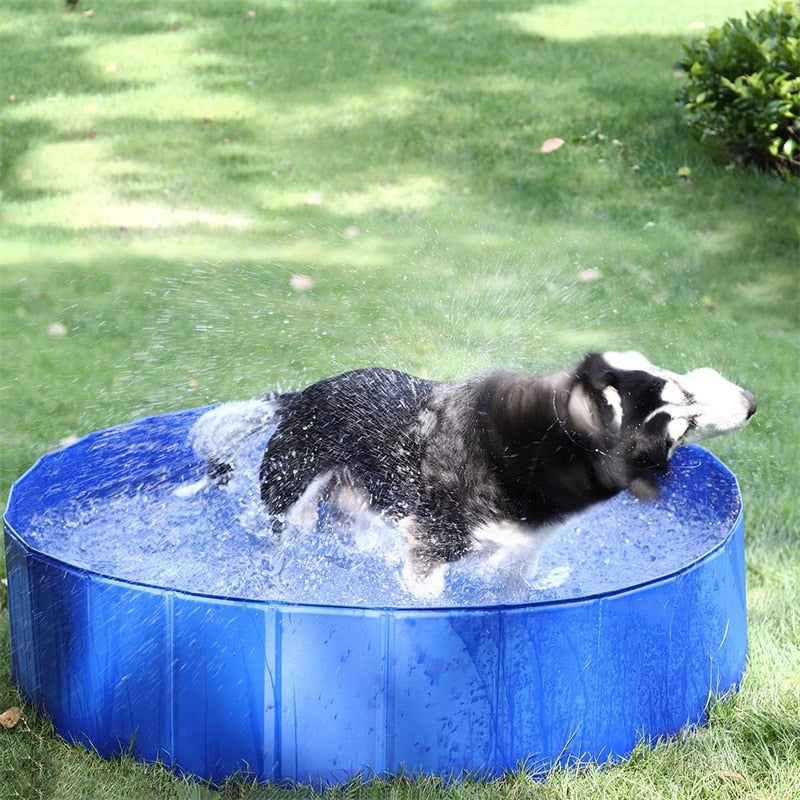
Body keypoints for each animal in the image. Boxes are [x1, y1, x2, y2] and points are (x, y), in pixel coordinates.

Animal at [181, 354, 756, 596]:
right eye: (684, 403)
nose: (752, 403)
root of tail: (303, 396)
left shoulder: (521, 556)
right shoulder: (428, 547)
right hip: (292, 500)